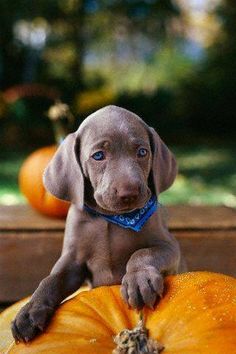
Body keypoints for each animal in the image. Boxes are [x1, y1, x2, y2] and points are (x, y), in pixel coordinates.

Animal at [11, 105, 183, 342]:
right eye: (98, 156)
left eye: (142, 152)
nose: (129, 192)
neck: (111, 219)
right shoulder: (73, 260)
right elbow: (51, 280)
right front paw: (29, 311)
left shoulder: (169, 247)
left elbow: (143, 253)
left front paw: (139, 281)